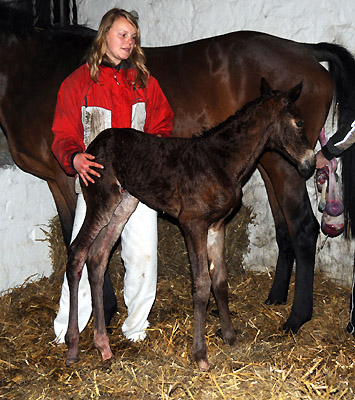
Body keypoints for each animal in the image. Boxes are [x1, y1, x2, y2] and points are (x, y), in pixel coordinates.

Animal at [2, 2, 355, 334]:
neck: (34, 69)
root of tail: (306, 49)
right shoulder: (58, 179)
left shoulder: (67, 178)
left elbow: (78, 237)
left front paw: (105, 307)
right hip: (271, 161)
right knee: (284, 228)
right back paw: (276, 297)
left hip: (286, 165)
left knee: (303, 228)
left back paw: (297, 317)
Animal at [65, 79, 316, 370]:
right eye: (299, 122)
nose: (310, 164)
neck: (222, 162)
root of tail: (91, 147)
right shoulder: (193, 223)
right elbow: (201, 283)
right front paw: (201, 355)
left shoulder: (217, 225)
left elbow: (220, 280)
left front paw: (230, 336)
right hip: (100, 200)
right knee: (78, 252)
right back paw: (73, 347)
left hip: (123, 204)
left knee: (98, 258)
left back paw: (103, 345)